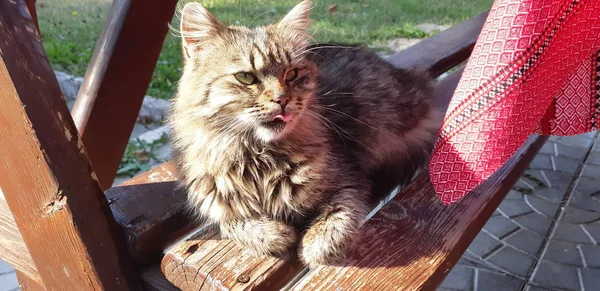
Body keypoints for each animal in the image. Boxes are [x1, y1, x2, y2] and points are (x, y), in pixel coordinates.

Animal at [169, 0, 440, 268]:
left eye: (292, 74)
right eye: (245, 77)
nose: (282, 100)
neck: (259, 158)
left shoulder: (348, 180)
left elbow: (336, 221)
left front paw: (312, 247)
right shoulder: (216, 203)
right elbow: (236, 224)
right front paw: (278, 235)